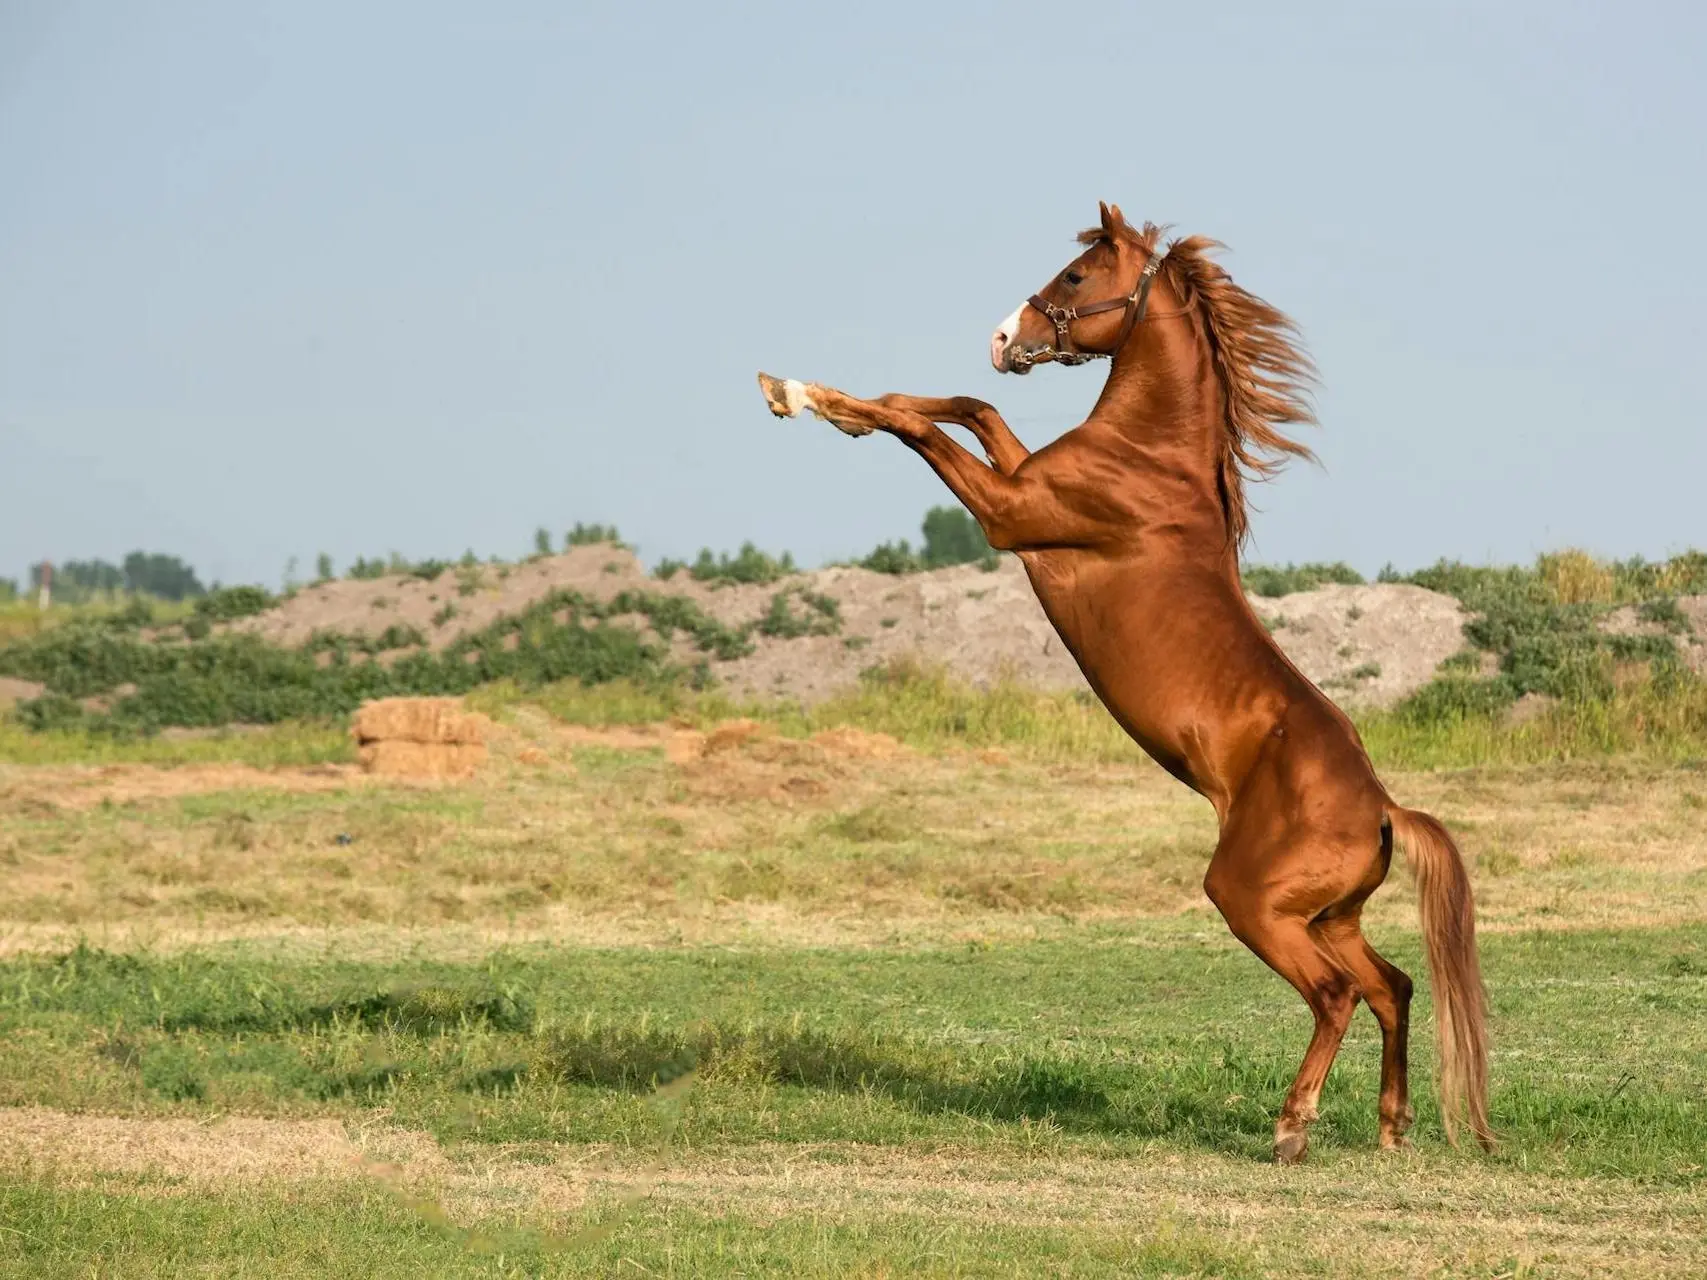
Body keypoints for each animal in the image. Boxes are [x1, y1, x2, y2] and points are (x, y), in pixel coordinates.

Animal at [754, 203, 1488, 1174]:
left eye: (1074, 278)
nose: (1002, 338)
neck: (1148, 459)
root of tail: (1382, 811)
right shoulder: (1018, 483)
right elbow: (969, 407)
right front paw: (818, 396)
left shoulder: (1009, 516)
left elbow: (935, 429)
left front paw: (802, 396)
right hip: (1328, 917)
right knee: (1393, 986)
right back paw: (1392, 1126)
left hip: (1254, 906)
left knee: (1335, 995)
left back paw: (1291, 1127)